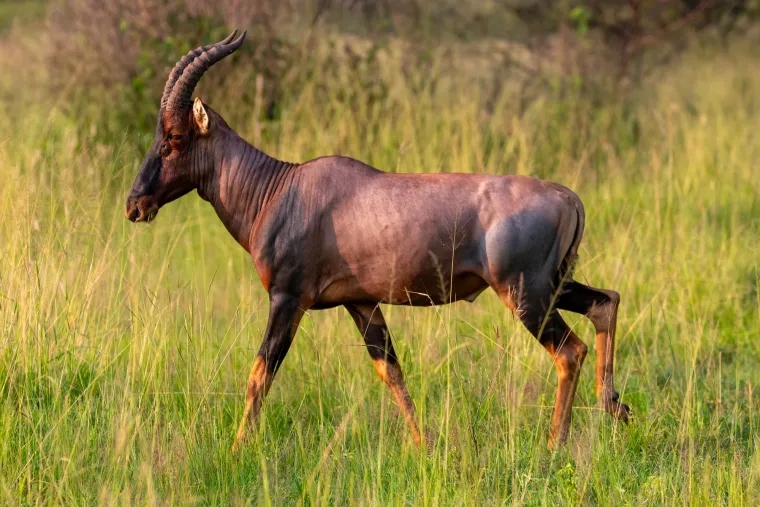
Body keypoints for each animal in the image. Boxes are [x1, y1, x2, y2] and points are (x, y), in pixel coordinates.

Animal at [126, 30, 629, 452]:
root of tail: (568, 197)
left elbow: (260, 373)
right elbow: (391, 371)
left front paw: (235, 451)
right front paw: (425, 445)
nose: (135, 205)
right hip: (552, 284)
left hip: (525, 294)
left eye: (173, 138)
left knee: (570, 351)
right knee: (606, 300)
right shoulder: (362, 303)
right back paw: (615, 406)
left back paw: (555, 444)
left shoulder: (287, 299)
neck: (283, 187)